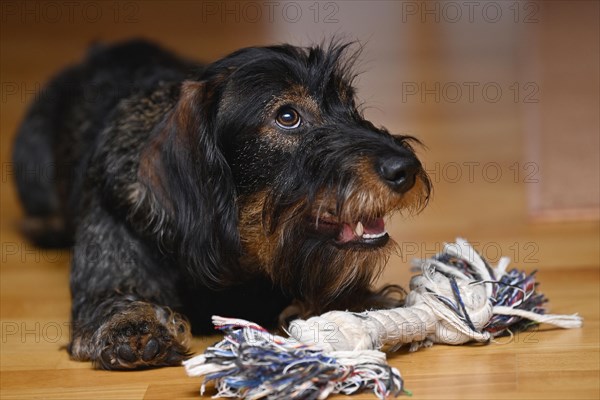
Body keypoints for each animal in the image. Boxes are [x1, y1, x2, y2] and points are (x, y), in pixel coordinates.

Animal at [11, 39, 428, 368]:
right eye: (287, 116)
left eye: (350, 106)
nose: (405, 169)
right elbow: (110, 299)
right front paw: (131, 325)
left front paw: (363, 304)